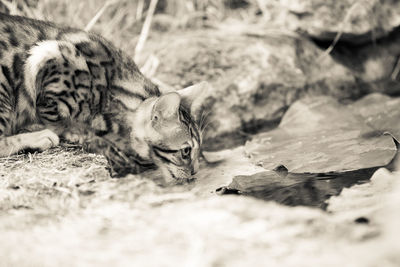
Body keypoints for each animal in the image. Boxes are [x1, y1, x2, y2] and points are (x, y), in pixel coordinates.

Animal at [0, 12, 208, 180]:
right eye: (186, 151)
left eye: (198, 150)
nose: (195, 172)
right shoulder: (49, 54)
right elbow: (54, 116)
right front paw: (73, 132)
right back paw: (39, 136)